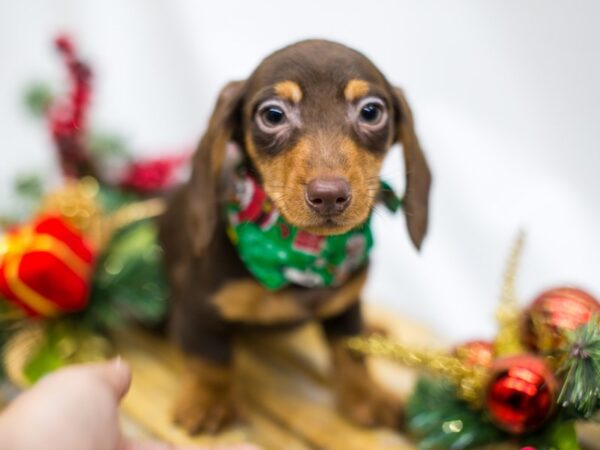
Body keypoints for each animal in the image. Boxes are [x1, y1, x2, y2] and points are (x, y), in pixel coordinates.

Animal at [159, 40, 432, 434]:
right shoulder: (199, 304)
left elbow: (349, 351)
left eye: (371, 111)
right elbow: (211, 358)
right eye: (273, 115)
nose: (329, 195)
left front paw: (367, 395)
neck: (299, 254)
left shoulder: (346, 303)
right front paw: (208, 400)